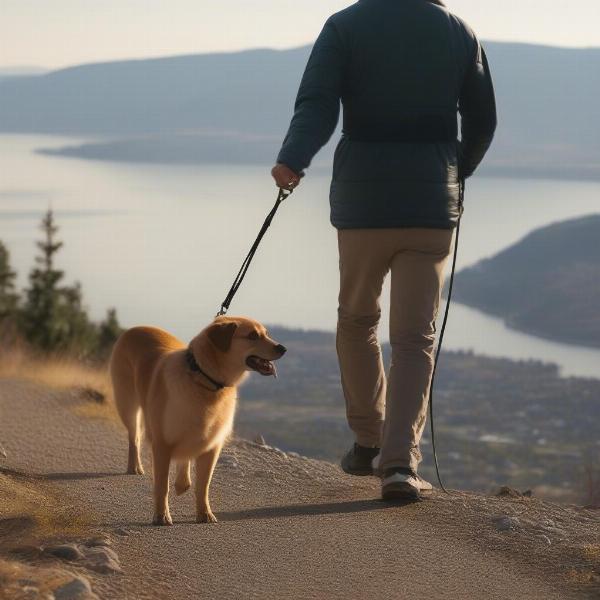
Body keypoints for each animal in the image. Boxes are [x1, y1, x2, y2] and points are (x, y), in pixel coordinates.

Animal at [109, 316, 286, 524]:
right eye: (252, 335)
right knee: (134, 437)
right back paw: (135, 466)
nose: (282, 348)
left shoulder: (212, 446)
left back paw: (182, 482)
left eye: (266, 333)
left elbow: (203, 485)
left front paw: (204, 514)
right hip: (128, 405)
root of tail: (134, 329)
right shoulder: (162, 444)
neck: (203, 378)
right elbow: (162, 485)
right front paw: (161, 516)